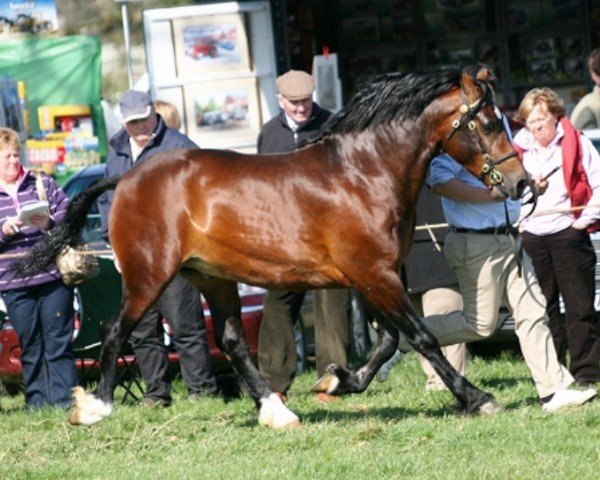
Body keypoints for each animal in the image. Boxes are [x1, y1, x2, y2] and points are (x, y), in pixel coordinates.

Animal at [14, 66, 528, 428]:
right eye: (486, 123)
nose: (523, 183)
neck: (365, 172)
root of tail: (127, 178)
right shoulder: (373, 276)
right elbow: (421, 337)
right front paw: (478, 398)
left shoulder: (374, 277)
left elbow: (387, 342)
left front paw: (339, 380)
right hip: (149, 276)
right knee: (115, 329)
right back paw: (94, 407)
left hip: (214, 279)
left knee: (232, 342)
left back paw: (277, 411)